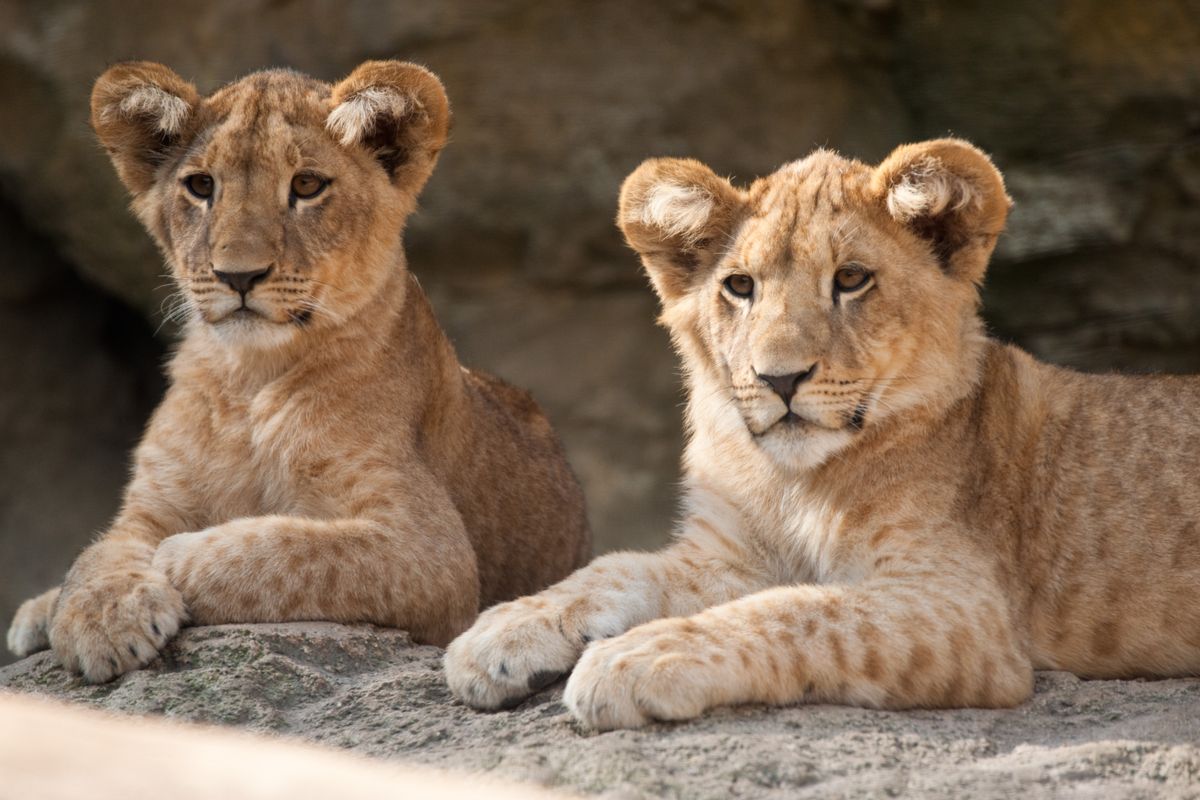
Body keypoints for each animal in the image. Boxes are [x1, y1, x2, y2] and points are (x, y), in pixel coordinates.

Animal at [5, 60, 590, 683]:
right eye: (201, 186)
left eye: (307, 186)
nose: (238, 275)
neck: (249, 377)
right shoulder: (152, 502)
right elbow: (101, 551)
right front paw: (102, 615)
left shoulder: (430, 549)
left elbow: (296, 550)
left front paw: (181, 558)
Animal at [444, 138, 1200, 730]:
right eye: (740, 286)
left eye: (853, 279)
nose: (779, 379)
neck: (792, 480)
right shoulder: (732, 556)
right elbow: (618, 565)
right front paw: (502, 631)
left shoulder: (966, 609)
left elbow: (800, 611)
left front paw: (642, 655)